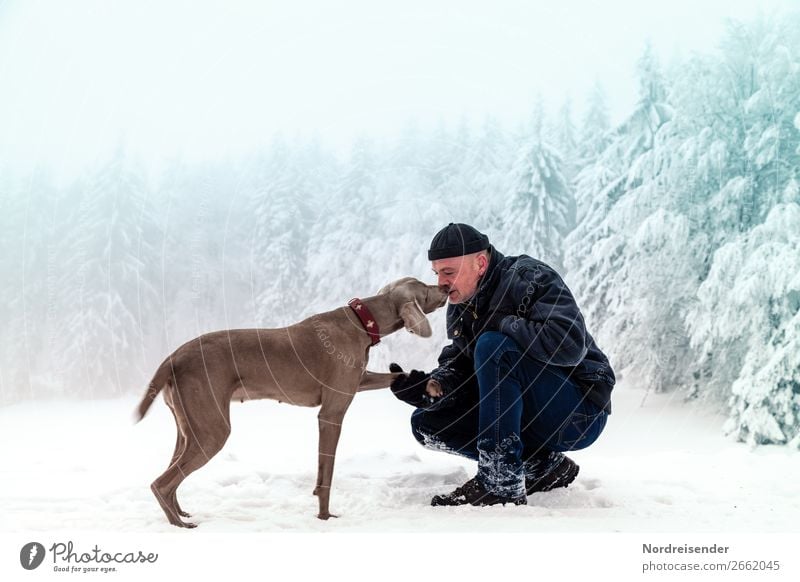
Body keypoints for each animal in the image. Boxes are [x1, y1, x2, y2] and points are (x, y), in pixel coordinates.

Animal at [136, 278, 444, 528]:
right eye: (424, 287)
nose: (443, 286)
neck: (361, 320)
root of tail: (174, 356)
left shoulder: (359, 380)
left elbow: (397, 375)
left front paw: (425, 383)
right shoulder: (331, 413)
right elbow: (326, 474)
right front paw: (324, 516)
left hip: (188, 428)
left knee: (171, 474)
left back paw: (181, 513)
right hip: (212, 430)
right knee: (161, 483)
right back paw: (178, 524)